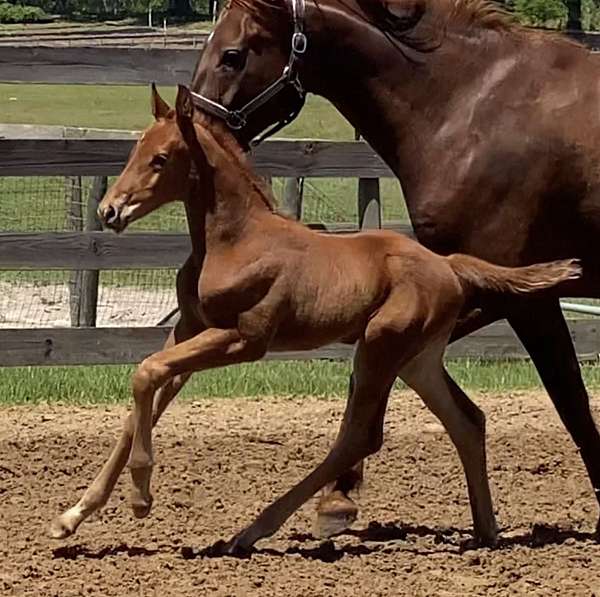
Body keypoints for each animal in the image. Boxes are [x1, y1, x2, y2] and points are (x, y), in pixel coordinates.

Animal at [51, 85, 580, 556]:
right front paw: (72, 516)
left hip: (380, 344)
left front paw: (140, 497)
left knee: (361, 436)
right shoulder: (189, 330)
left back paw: (252, 531)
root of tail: (449, 265)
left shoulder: (242, 339)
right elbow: (141, 401)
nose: (109, 210)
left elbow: (145, 373)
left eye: (161, 159)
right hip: (418, 359)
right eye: (135, 150)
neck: (235, 240)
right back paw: (486, 530)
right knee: (467, 420)